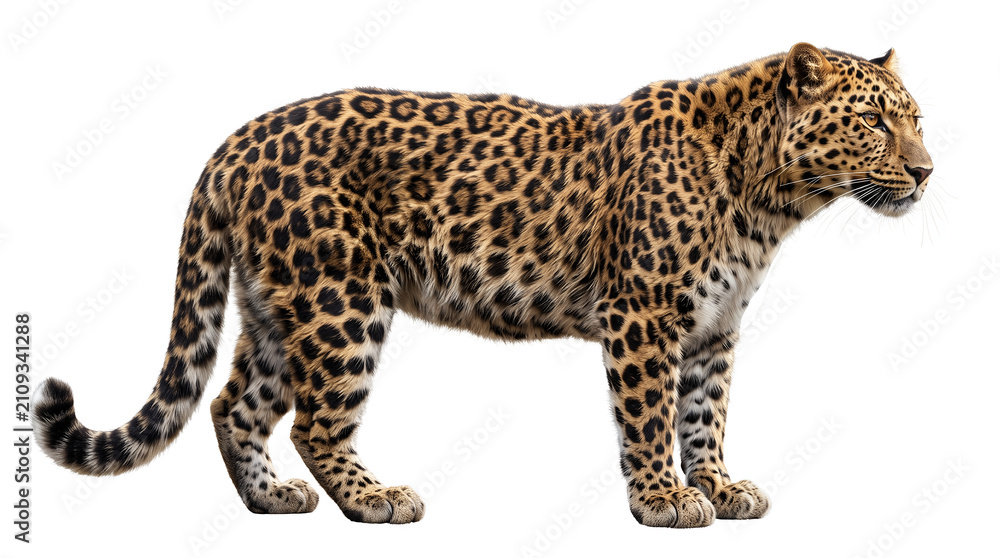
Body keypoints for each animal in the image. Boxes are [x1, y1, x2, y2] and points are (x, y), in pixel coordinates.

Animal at [32, 42, 932, 528]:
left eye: (916, 118)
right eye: (874, 120)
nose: (927, 171)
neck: (771, 197)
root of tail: (235, 142)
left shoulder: (714, 326)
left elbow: (704, 417)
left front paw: (716, 486)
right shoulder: (643, 316)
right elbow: (649, 419)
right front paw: (661, 502)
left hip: (277, 308)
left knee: (232, 405)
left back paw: (270, 500)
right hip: (340, 300)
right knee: (316, 423)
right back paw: (375, 500)